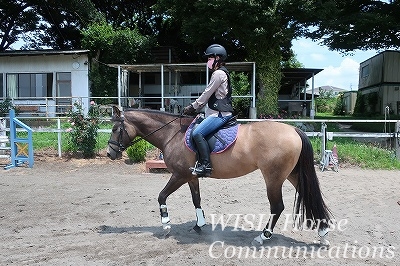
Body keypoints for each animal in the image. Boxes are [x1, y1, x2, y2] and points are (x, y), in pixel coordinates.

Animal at [105, 106, 332, 245]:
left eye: (116, 128)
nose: (109, 153)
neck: (172, 134)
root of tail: (293, 130)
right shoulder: (191, 177)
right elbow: (196, 199)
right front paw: (199, 225)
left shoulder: (179, 175)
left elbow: (161, 196)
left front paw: (166, 225)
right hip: (292, 174)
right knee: (309, 197)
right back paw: (322, 234)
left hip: (273, 178)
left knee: (277, 207)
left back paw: (262, 237)